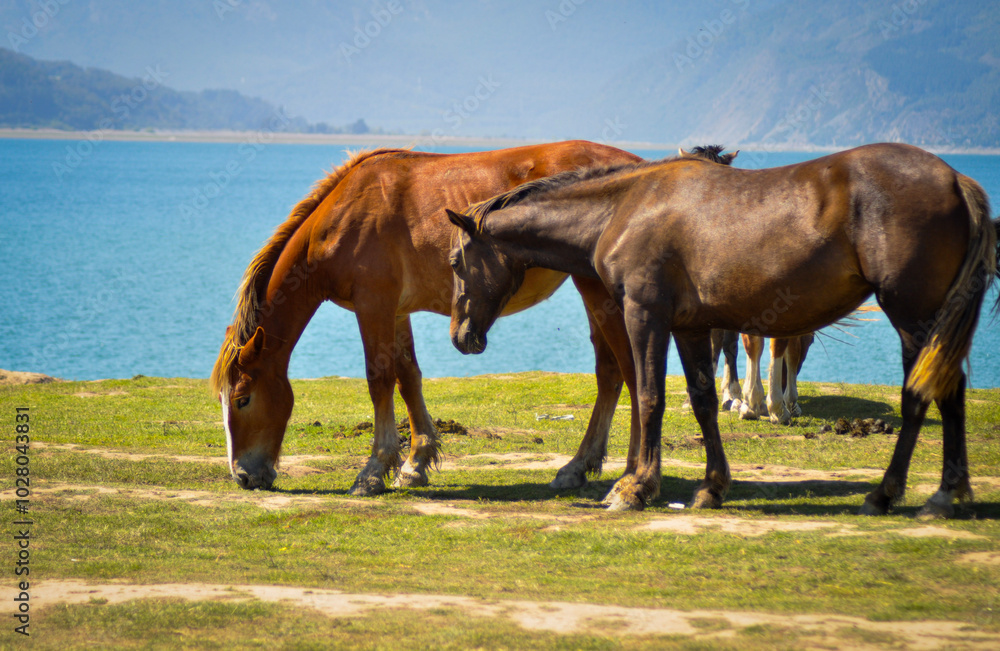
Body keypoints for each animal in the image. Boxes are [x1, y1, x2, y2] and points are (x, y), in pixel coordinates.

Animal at [210, 141, 649, 494]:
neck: (345, 214)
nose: (242, 477)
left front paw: (373, 472)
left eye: (243, 399)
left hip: (597, 291)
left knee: (628, 370)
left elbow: (379, 380)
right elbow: (408, 378)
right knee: (609, 372)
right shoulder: (396, 312)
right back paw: (579, 467)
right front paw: (415, 464)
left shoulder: (374, 306)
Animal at [447, 143, 997, 518]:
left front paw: (635, 487)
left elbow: (649, 396)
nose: (459, 336)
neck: (624, 207)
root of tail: (955, 179)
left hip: (913, 318)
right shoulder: (693, 328)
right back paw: (944, 495)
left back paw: (891, 494)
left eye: (455, 262)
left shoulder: (645, 316)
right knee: (948, 393)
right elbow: (703, 400)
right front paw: (713, 485)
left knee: (920, 397)